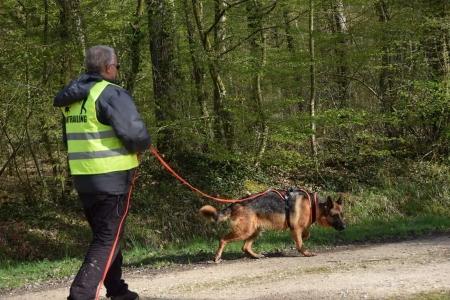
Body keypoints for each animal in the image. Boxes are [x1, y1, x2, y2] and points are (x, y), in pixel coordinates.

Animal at [200, 188, 344, 262]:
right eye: (335, 215)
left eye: (342, 215)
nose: (344, 227)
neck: (314, 206)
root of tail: (236, 203)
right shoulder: (296, 228)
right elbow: (300, 243)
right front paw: (306, 252)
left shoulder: (299, 228)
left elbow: (306, 234)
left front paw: (305, 237)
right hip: (245, 231)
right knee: (223, 239)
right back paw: (217, 257)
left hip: (256, 230)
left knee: (245, 247)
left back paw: (256, 255)